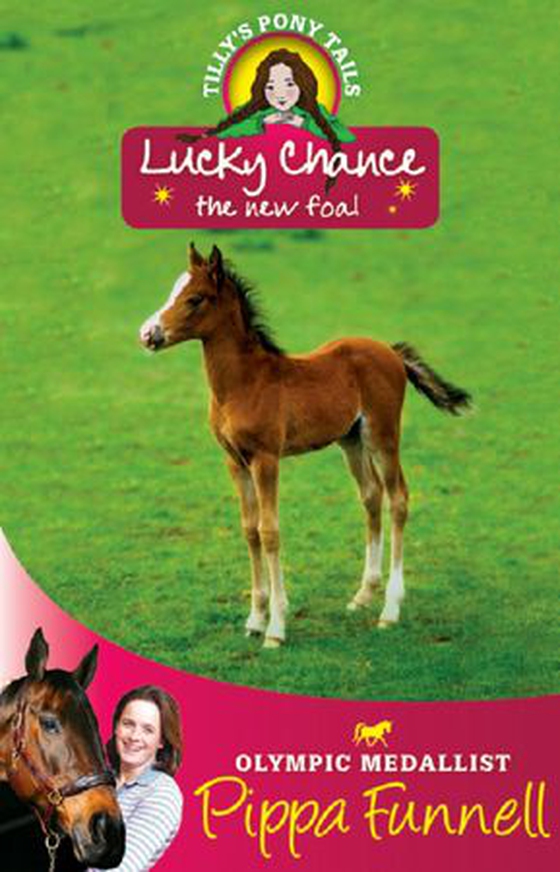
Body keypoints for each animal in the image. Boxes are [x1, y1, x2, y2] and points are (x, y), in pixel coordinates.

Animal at [140, 244, 471, 648]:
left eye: (195, 298)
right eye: (174, 290)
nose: (147, 334)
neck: (244, 383)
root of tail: (391, 352)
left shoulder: (266, 459)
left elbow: (269, 532)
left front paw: (276, 628)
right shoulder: (234, 462)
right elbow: (249, 530)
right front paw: (255, 619)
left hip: (383, 437)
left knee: (398, 499)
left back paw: (390, 609)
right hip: (351, 441)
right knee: (371, 496)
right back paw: (363, 595)